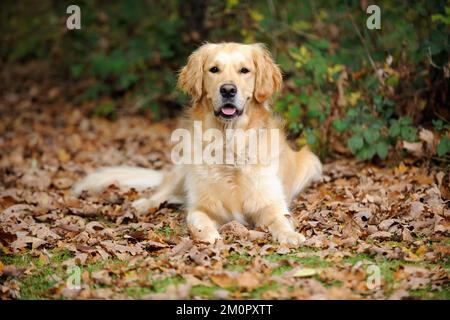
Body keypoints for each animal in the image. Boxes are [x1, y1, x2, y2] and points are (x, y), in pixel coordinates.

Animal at [74, 42, 322, 245]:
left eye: (244, 70)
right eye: (214, 69)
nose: (228, 90)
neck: (228, 144)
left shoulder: (270, 203)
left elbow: (280, 219)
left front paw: (290, 235)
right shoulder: (201, 206)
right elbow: (198, 218)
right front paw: (209, 235)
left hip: (311, 161)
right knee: (162, 193)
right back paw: (143, 204)